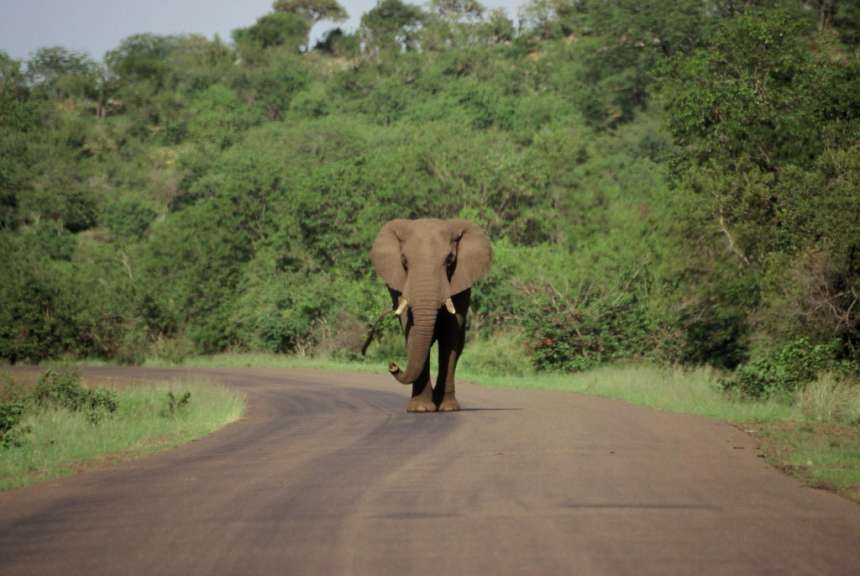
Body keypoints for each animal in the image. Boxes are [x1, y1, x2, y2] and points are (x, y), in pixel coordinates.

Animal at [370, 218, 492, 413]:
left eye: (450, 259)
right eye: (404, 260)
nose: (393, 365)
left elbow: (450, 337)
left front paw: (448, 408)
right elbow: (413, 333)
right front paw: (420, 408)